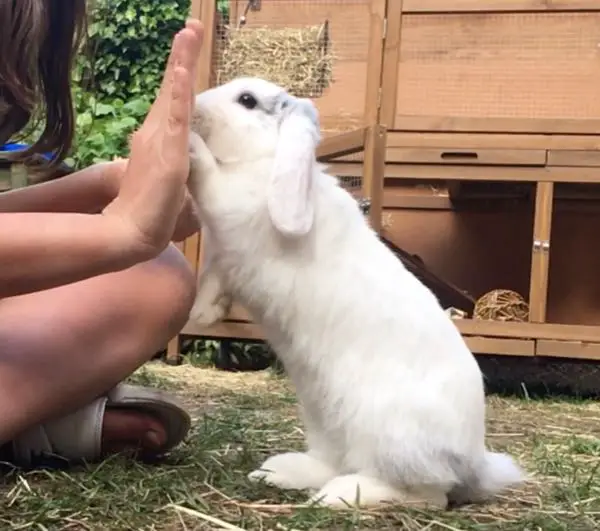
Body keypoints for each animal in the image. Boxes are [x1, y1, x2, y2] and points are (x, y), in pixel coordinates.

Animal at [188, 77, 524, 510]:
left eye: (247, 100)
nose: (195, 106)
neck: (267, 157)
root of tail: (471, 462)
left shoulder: (232, 204)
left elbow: (210, 178)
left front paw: (190, 142)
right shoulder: (223, 259)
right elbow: (213, 279)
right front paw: (202, 313)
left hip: (390, 438)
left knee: (427, 495)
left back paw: (341, 494)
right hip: (323, 418)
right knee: (336, 461)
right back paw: (281, 472)